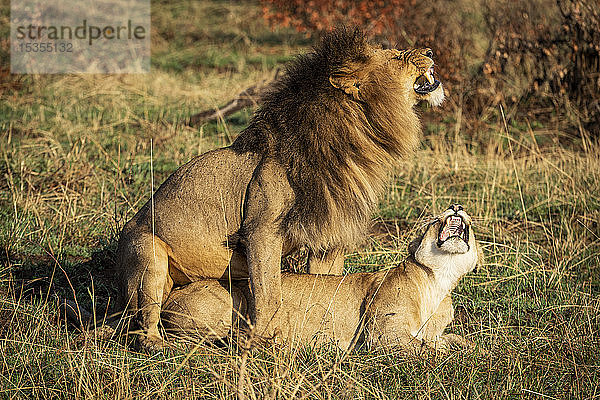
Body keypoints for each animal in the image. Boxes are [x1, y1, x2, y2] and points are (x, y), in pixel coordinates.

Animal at [118, 26, 446, 348]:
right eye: (397, 56)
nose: (431, 51)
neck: (356, 137)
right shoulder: (261, 231)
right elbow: (269, 295)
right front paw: (257, 344)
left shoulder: (328, 237)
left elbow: (327, 288)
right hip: (147, 253)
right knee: (145, 323)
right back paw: (160, 344)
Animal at [162, 205, 480, 352]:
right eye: (434, 221)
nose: (456, 207)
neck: (439, 280)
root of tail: (170, 295)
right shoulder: (382, 336)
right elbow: (426, 349)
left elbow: (450, 339)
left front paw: (471, 346)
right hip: (236, 300)